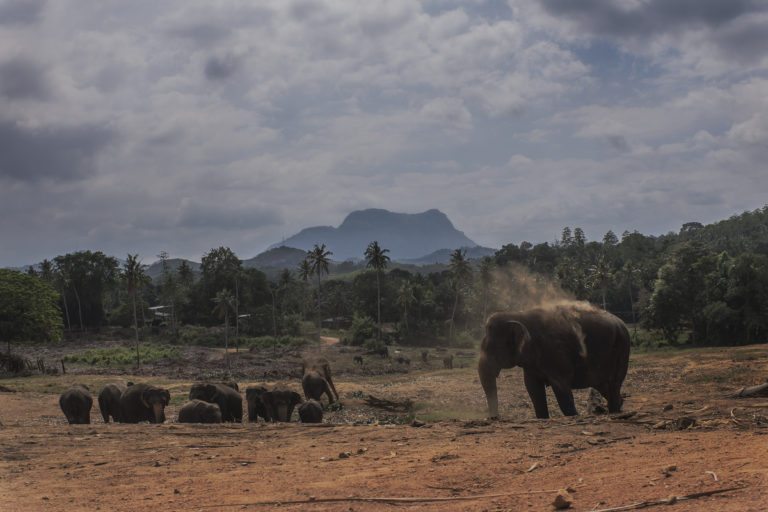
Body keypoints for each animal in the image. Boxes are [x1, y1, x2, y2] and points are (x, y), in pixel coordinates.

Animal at [478, 303, 630, 419]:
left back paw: (614, 411)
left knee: (614, 383)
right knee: (603, 384)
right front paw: (543, 418)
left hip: (622, 348)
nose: (494, 418)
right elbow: (533, 388)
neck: (516, 314)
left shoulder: (555, 352)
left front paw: (574, 416)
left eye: (491, 350)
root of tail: (621, 323)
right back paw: (618, 406)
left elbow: (561, 387)